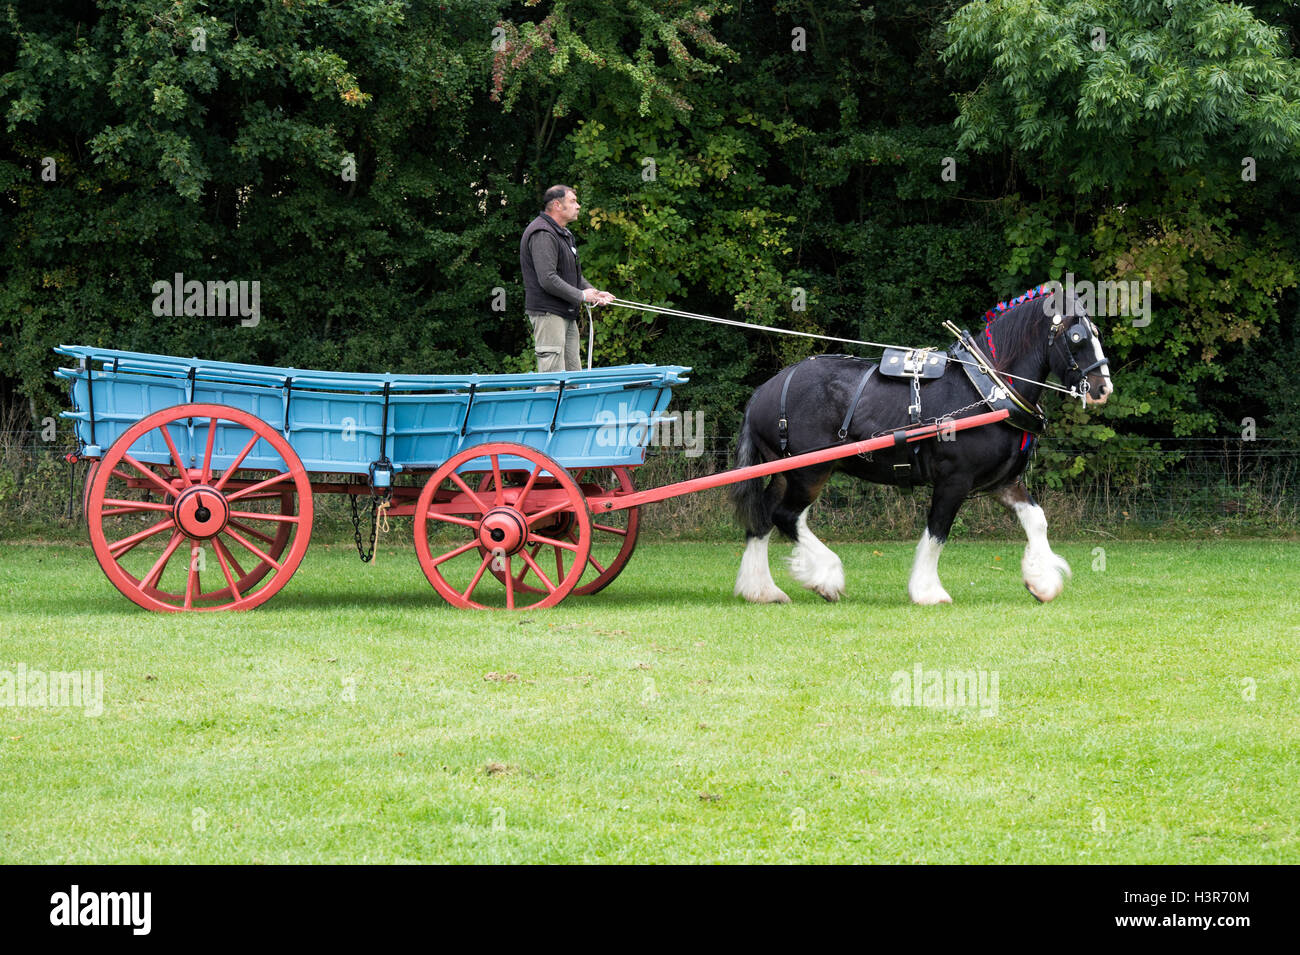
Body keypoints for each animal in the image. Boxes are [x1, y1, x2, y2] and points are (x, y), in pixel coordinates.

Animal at [738, 283, 1112, 608]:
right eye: (1077, 337)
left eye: (1096, 333)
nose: (1102, 389)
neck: (988, 391)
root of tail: (764, 391)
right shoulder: (954, 480)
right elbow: (937, 532)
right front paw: (928, 591)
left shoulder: (1003, 482)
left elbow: (1037, 520)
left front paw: (1042, 582)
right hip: (810, 471)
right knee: (786, 516)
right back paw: (825, 577)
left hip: (784, 472)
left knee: (762, 518)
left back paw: (761, 590)